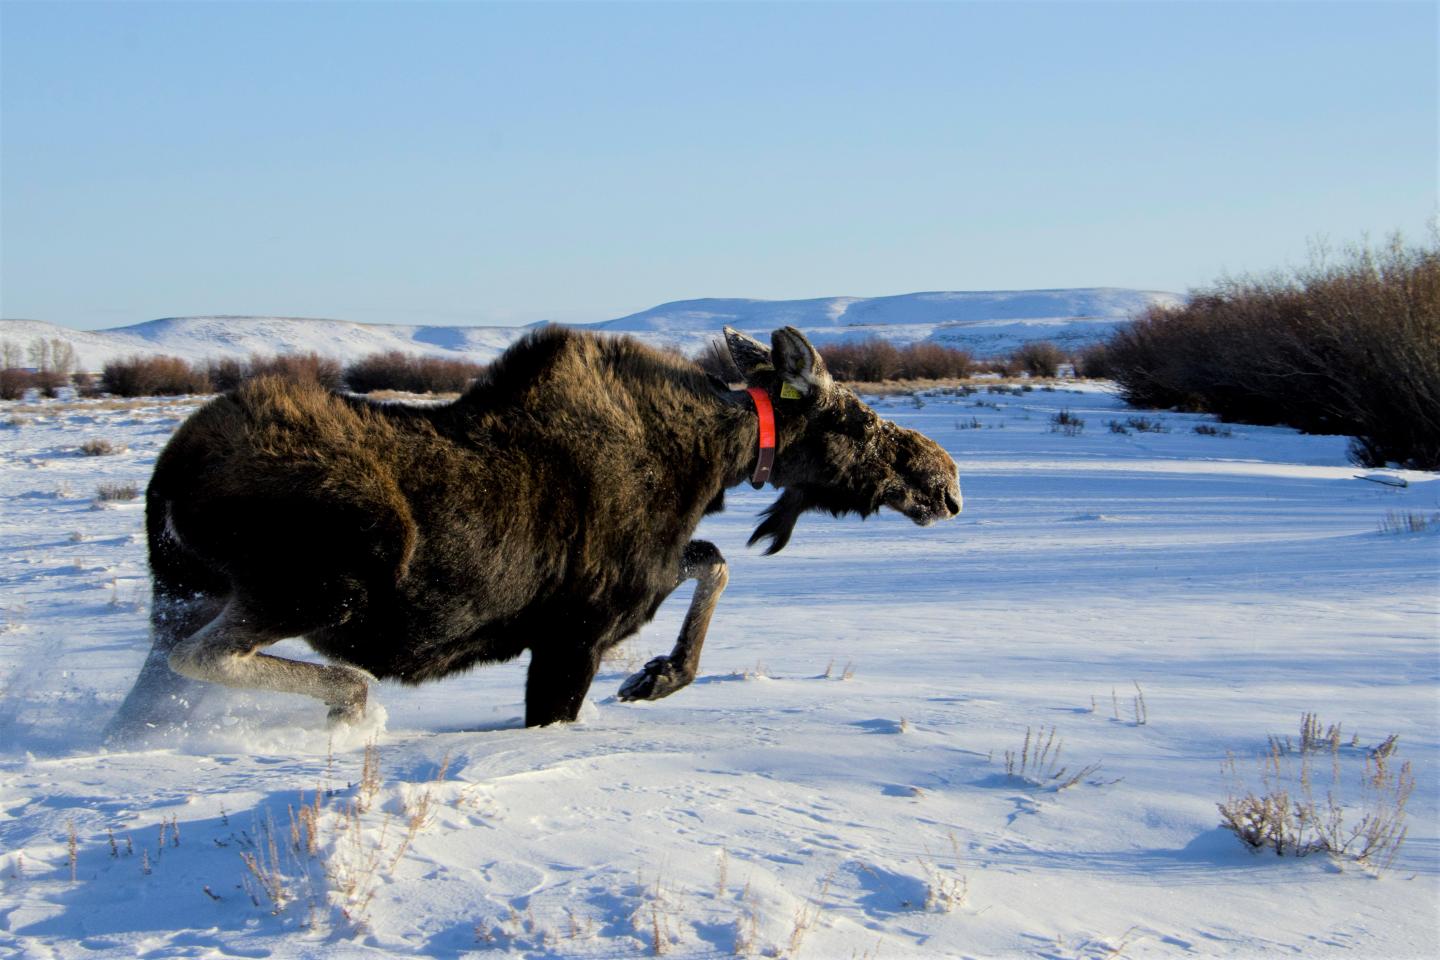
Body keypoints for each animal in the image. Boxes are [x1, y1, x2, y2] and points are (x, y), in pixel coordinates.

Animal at [106, 326, 961, 742]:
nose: (946, 483)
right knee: (208, 655)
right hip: (330, 576)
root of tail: (168, 475)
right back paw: (351, 706)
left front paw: (657, 675)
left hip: (182, 590)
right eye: (857, 421)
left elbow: (713, 561)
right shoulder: (574, 632)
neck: (712, 462)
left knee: (151, 688)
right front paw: (653, 676)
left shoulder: (644, 579)